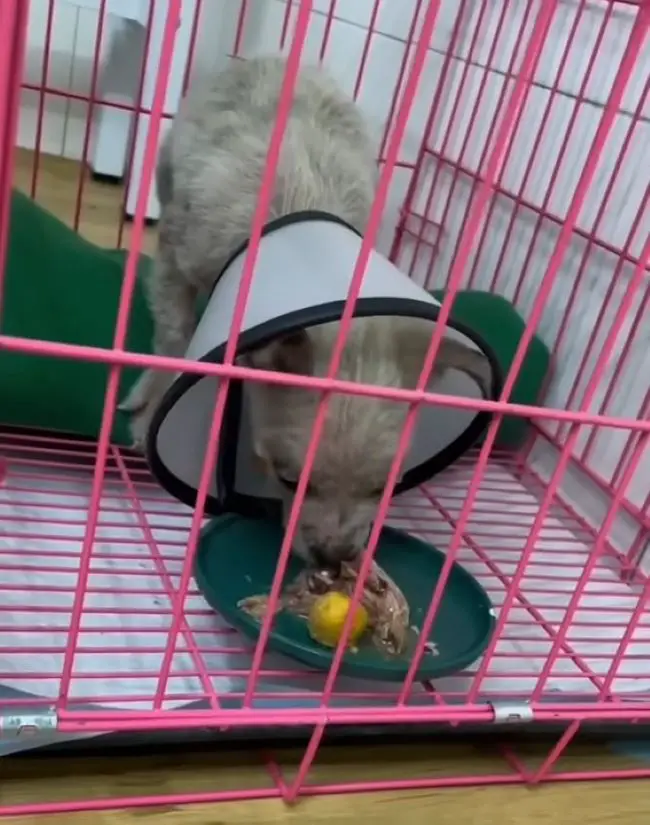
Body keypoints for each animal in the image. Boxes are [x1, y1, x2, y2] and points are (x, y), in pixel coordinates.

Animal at [120, 56, 486, 568]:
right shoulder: (176, 259)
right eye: (288, 479)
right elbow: (173, 339)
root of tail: (272, 57)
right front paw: (150, 403)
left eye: (385, 487)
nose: (335, 555)